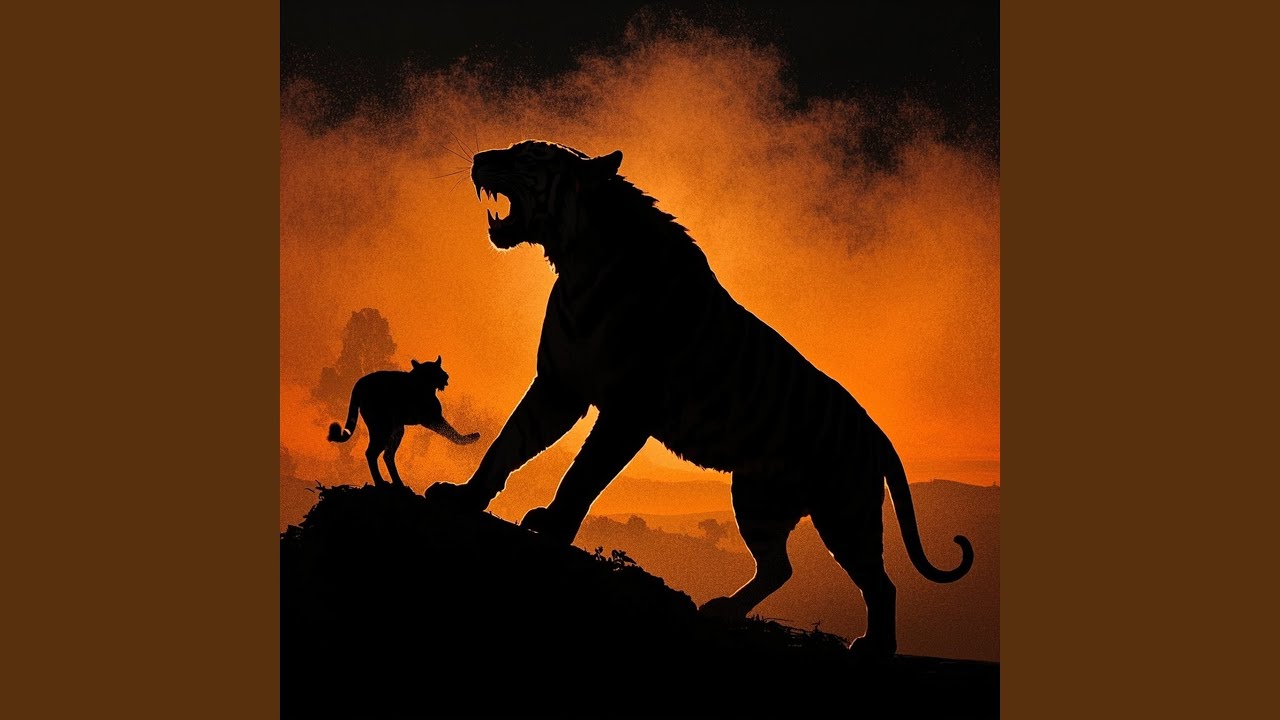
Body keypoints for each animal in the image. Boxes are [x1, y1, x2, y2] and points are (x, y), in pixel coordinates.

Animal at [328, 356, 480, 488]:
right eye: (437, 370)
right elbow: (451, 432)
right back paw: (381, 483)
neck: (424, 383)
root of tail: (358, 384)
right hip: (383, 427)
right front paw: (471, 438)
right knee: (372, 453)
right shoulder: (432, 418)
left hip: (396, 429)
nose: (446, 376)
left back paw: (398, 483)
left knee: (387, 454)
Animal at [426, 140, 973, 659]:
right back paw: (724, 610)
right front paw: (465, 496)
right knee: (779, 567)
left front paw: (554, 525)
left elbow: (583, 472)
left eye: (527, 156)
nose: (478, 157)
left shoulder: (627, 410)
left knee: (880, 584)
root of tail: (876, 432)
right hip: (758, 498)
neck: (576, 260)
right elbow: (506, 444)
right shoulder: (559, 387)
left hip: (844, 512)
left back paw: (874, 646)